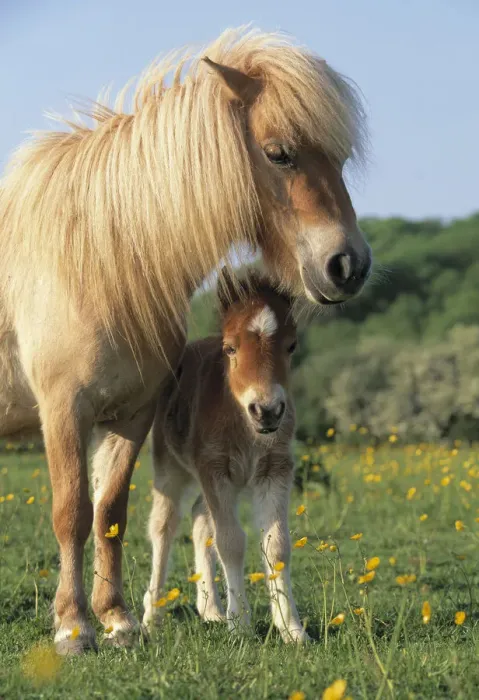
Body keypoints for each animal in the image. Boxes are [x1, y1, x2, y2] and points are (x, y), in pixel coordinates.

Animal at [143, 269, 308, 643]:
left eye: (291, 346)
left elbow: (277, 545)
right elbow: (231, 541)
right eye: (230, 348)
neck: (244, 426)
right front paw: (241, 624)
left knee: (199, 520)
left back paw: (211, 611)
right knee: (164, 526)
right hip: (172, 467)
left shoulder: (275, 469)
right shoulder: (215, 469)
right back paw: (151, 617)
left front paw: (291, 628)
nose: (267, 411)